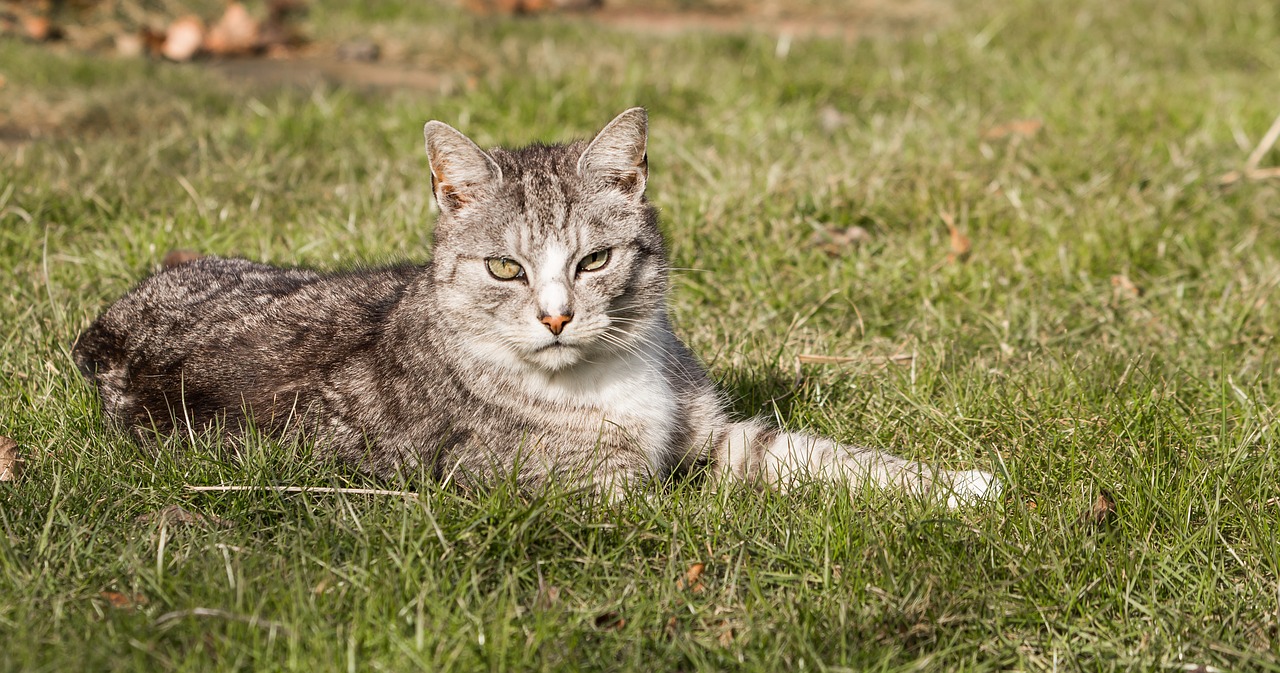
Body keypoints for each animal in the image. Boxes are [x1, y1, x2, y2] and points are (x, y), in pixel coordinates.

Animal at [74, 106, 998, 506]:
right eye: (504, 268)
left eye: (593, 259)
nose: (556, 316)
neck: (604, 373)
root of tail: (106, 329)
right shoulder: (595, 494)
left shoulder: (716, 430)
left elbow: (822, 455)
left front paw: (960, 484)